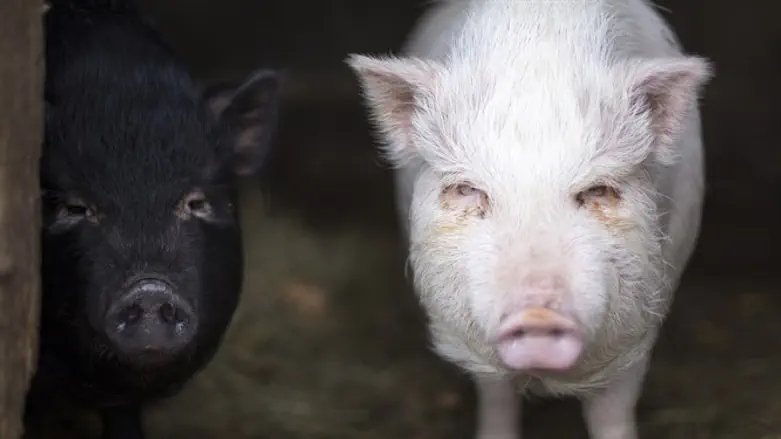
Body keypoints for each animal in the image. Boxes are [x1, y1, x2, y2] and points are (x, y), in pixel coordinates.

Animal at [347, 0, 711, 438]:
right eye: (468, 190)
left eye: (597, 191)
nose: (538, 314)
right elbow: (497, 401)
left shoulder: (638, 328)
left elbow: (614, 414)